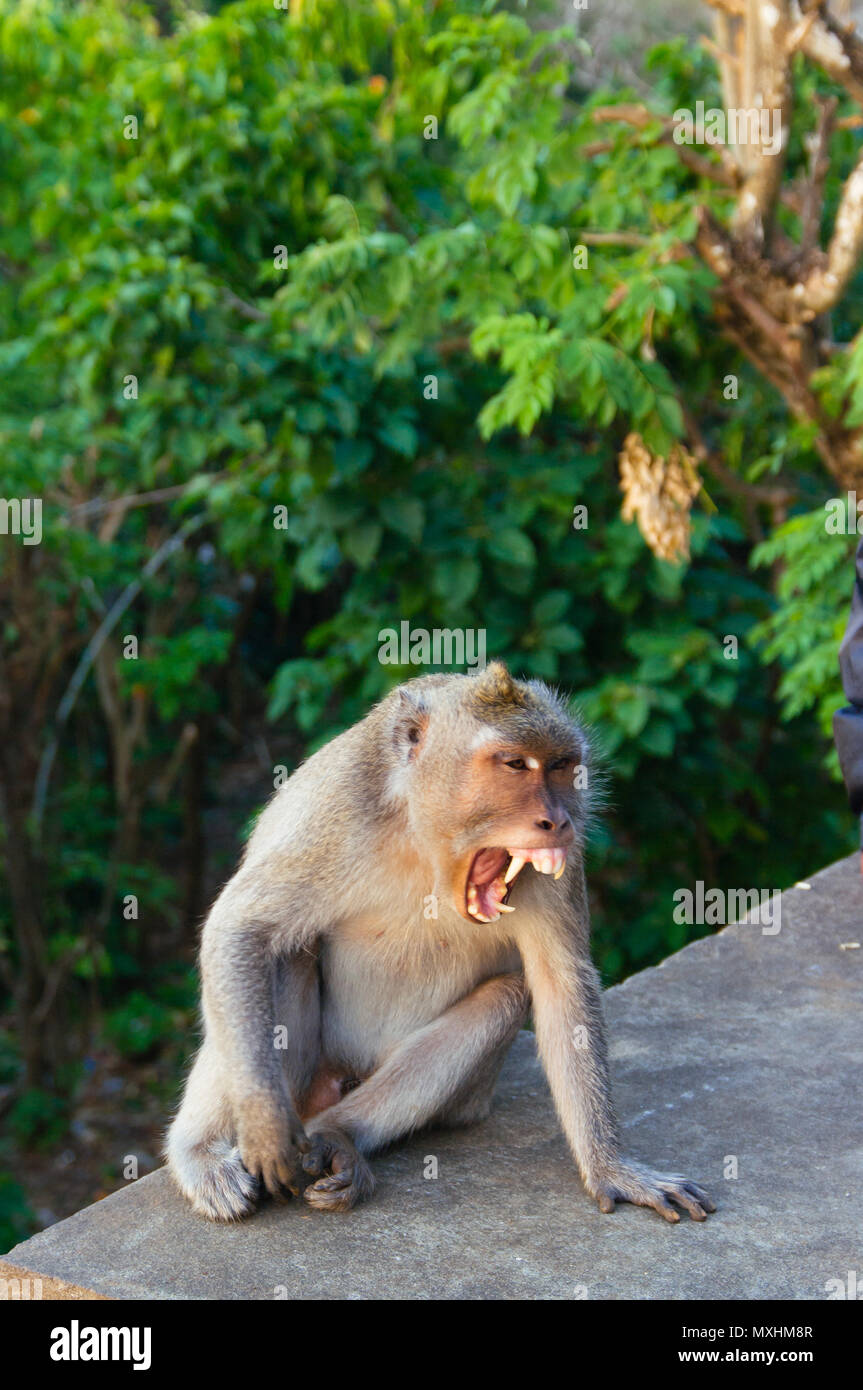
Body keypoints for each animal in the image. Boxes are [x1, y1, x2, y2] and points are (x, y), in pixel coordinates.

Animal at [166, 664, 711, 1228]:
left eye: (561, 766)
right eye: (515, 765)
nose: (557, 820)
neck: (426, 840)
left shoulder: (568, 855)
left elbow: (561, 985)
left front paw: (610, 1168)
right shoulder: (336, 821)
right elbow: (240, 927)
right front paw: (264, 1125)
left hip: (457, 1098)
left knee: (506, 997)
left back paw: (339, 1135)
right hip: (306, 1075)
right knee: (282, 951)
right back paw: (200, 1152)